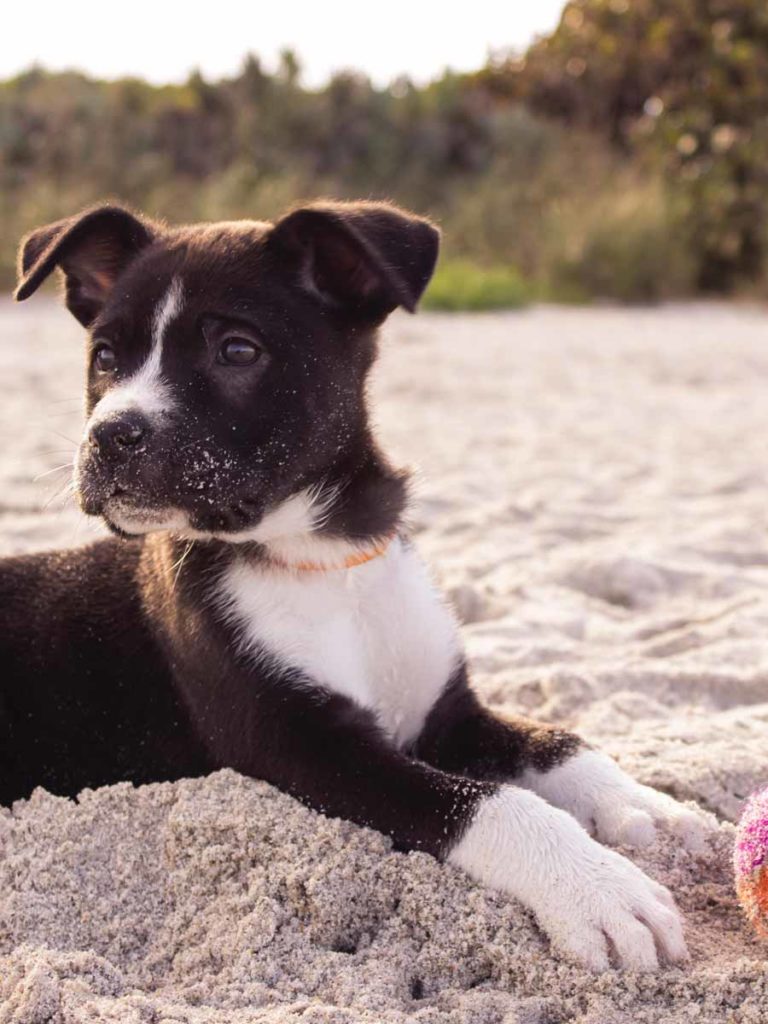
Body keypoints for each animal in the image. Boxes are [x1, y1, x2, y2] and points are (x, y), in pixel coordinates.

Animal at [1, 197, 716, 966]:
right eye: (105, 356)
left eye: (237, 351)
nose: (110, 435)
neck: (321, 558)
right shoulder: (305, 745)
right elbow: (489, 802)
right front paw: (598, 889)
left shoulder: (445, 710)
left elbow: (558, 740)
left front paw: (647, 804)